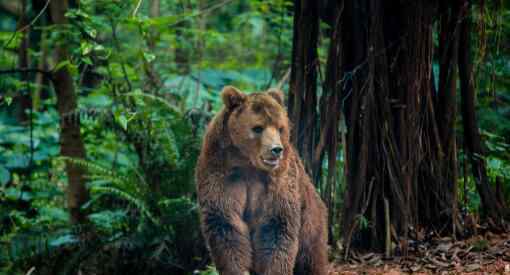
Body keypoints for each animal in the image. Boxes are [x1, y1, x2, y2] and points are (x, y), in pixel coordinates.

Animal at [195, 86, 326, 275]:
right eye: (258, 128)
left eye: (280, 128)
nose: (276, 149)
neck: (247, 162)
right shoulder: (220, 171)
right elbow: (226, 222)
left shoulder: (279, 179)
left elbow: (276, 227)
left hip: (311, 220)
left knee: (310, 256)